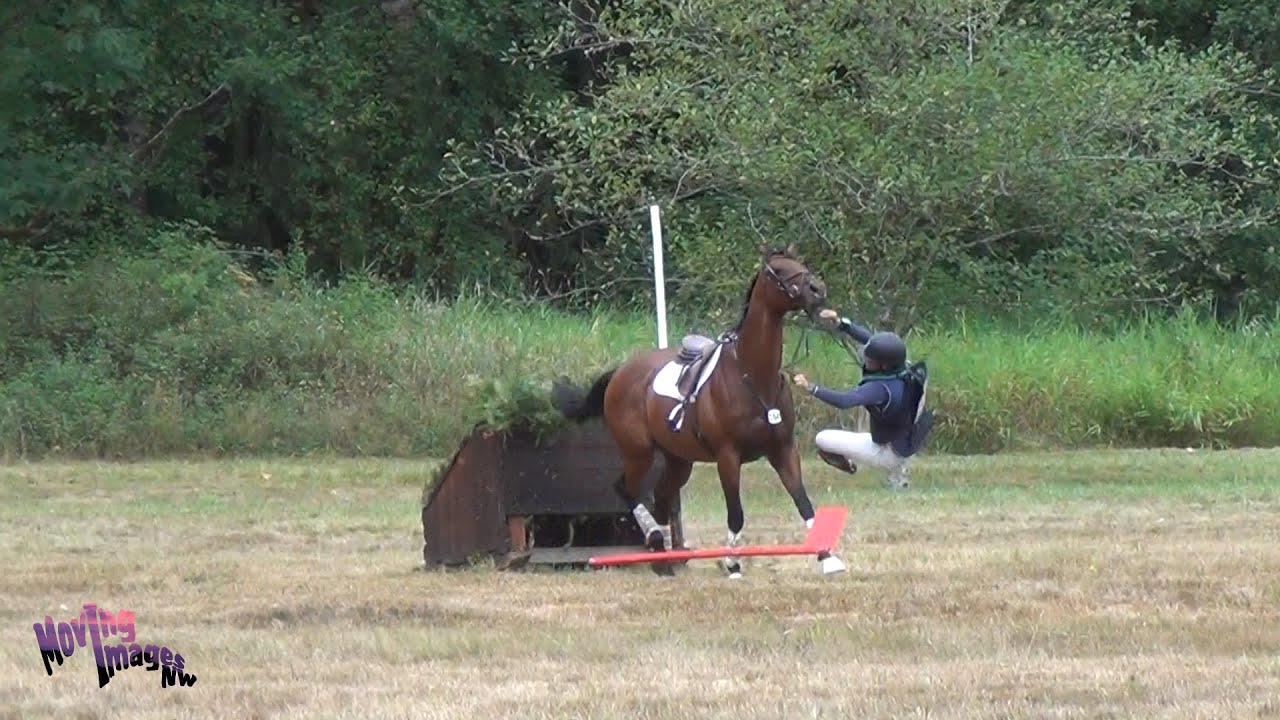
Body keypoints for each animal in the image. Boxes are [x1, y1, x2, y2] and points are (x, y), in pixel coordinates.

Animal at [552, 244, 847, 578]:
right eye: (779, 271)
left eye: (802, 265)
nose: (817, 290)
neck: (753, 375)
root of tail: (620, 372)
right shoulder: (728, 457)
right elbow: (736, 513)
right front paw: (732, 563)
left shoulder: (782, 449)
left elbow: (803, 501)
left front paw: (827, 557)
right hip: (638, 452)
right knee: (627, 490)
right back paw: (656, 543)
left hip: (679, 460)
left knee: (661, 497)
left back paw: (664, 558)